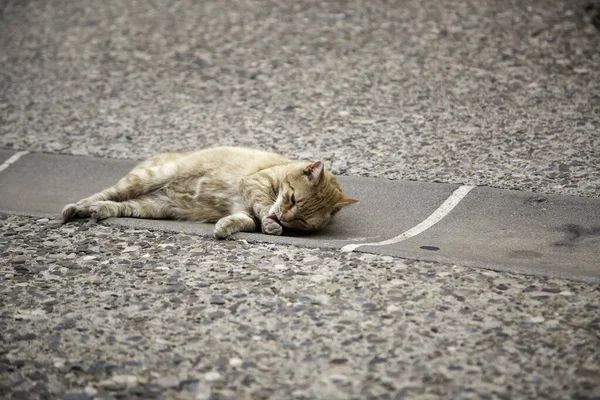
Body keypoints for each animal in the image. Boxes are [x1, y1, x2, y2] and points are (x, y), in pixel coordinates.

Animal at [61, 148, 356, 239]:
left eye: (302, 220)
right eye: (293, 199)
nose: (284, 218)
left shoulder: (244, 210)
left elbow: (245, 220)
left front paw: (226, 227)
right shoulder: (255, 184)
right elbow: (262, 209)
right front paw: (271, 225)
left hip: (154, 206)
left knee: (120, 205)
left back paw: (101, 210)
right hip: (148, 178)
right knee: (103, 194)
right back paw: (78, 207)